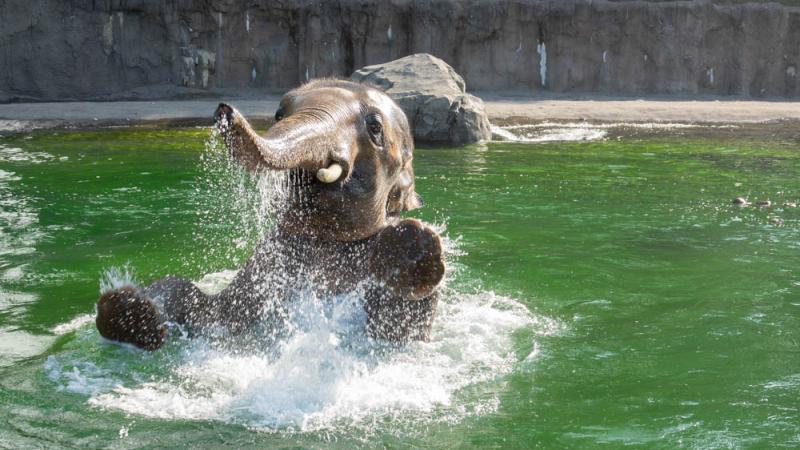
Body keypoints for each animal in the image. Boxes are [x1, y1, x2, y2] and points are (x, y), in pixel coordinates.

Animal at [96, 79, 446, 350]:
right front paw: (130, 313)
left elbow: (394, 328)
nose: (224, 110)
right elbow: (208, 310)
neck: (325, 239)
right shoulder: (264, 261)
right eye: (279, 112)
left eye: (374, 127)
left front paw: (412, 243)